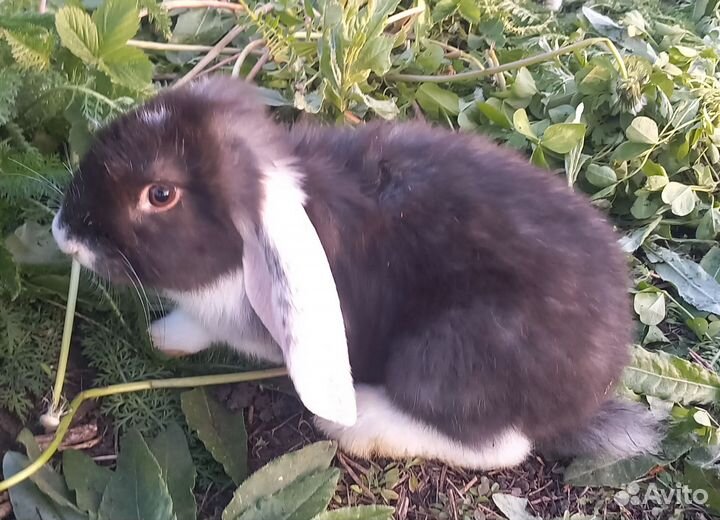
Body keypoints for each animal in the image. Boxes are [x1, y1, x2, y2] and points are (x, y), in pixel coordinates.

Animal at [52, 76, 660, 470]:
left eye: (160, 194)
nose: (64, 234)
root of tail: (588, 393)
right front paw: (165, 335)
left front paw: (167, 334)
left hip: (447, 352)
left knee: (497, 446)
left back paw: (358, 424)